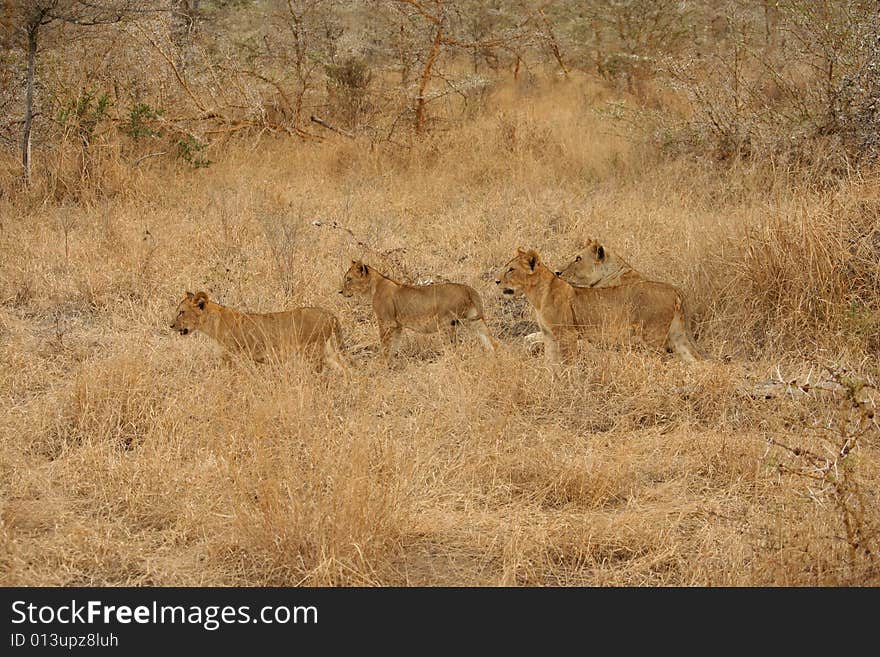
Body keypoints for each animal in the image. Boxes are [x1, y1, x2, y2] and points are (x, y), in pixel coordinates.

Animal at [168, 290, 348, 372]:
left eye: (181, 312)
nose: (170, 325)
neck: (214, 323)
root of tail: (329, 314)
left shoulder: (232, 357)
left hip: (313, 351)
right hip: (328, 350)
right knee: (344, 368)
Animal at [340, 258, 498, 358]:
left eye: (348, 279)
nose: (340, 291)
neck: (373, 286)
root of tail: (467, 288)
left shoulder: (387, 323)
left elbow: (385, 346)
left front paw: (381, 364)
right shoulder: (397, 326)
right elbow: (394, 345)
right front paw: (391, 364)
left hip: (446, 324)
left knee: (453, 349)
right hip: (475, 321)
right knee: (492, 341)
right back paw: (495, 357)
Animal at [502, 249, 700, 364]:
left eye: (511, 269)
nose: (496, 281)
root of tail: (673, 288)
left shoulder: (569, 334)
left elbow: (567, 360)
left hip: (652, 336)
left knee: (665, 359)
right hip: (677, 335)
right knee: (694, 360)